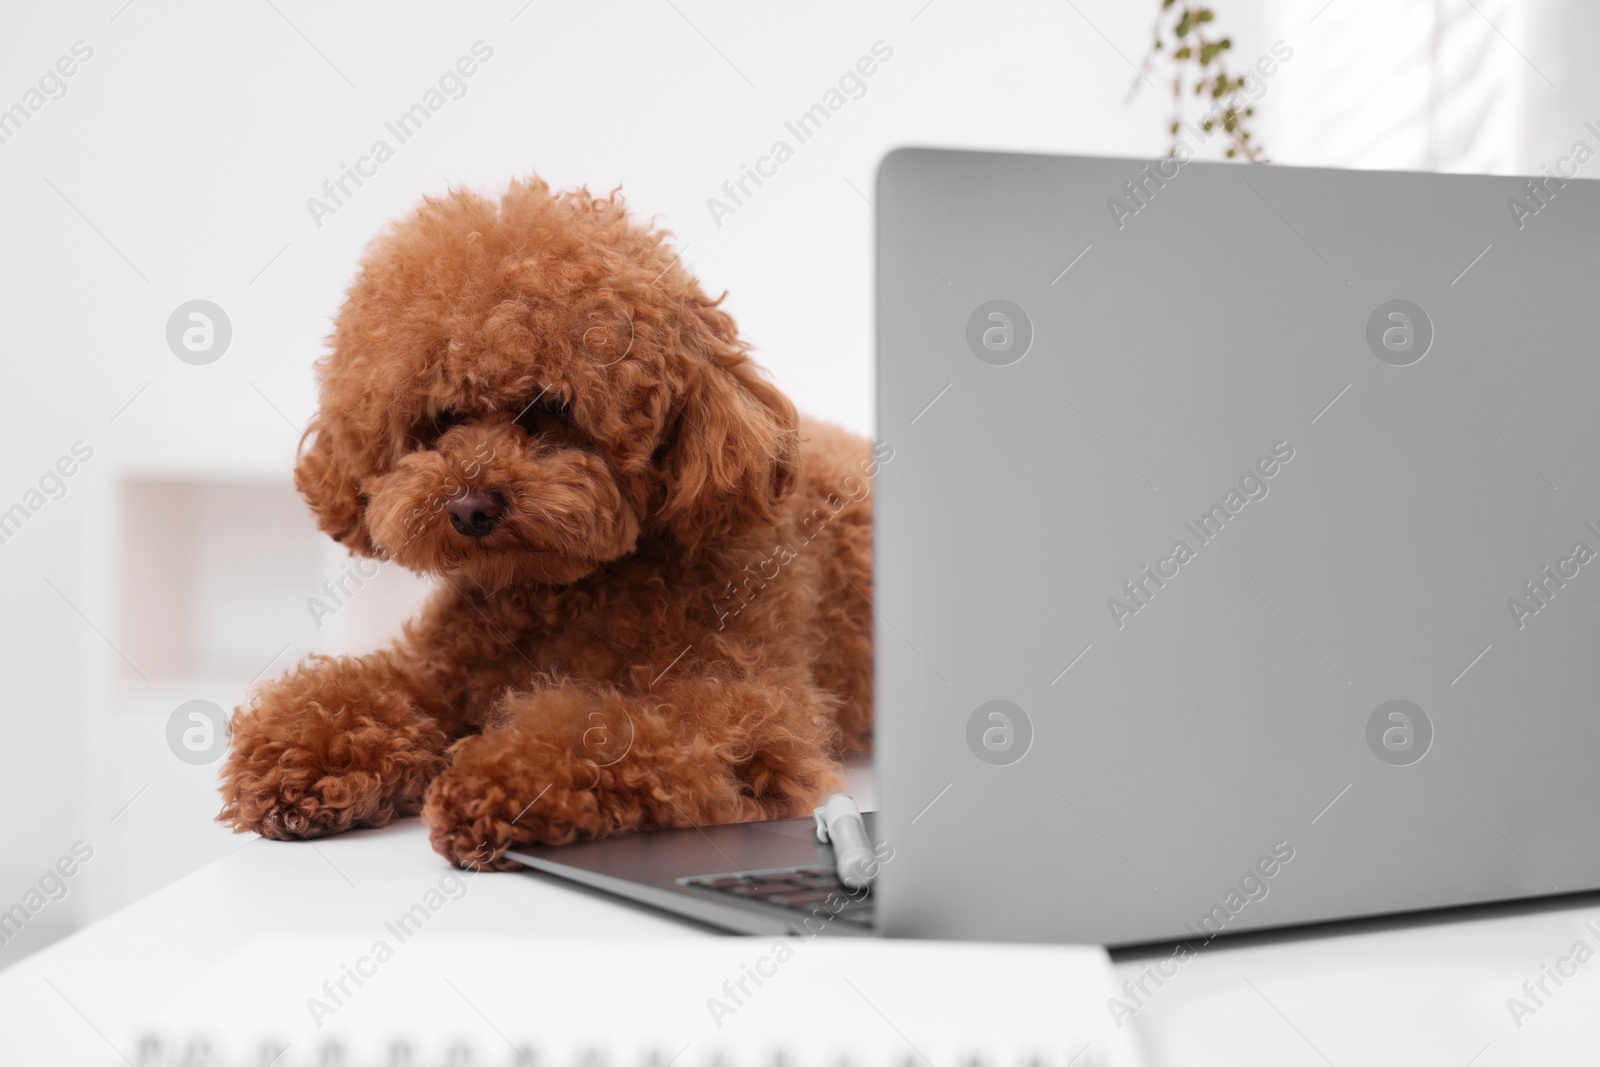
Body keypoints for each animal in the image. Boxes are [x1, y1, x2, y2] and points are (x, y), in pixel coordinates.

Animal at [216, 179, 876, 870]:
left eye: (551, 408)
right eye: (441, 417)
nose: (469, 507)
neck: (558, 596)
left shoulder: (743, 713)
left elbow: (618, 731)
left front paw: (496, 782)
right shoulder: (445, 671)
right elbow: (371, 689)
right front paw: (301, 756)